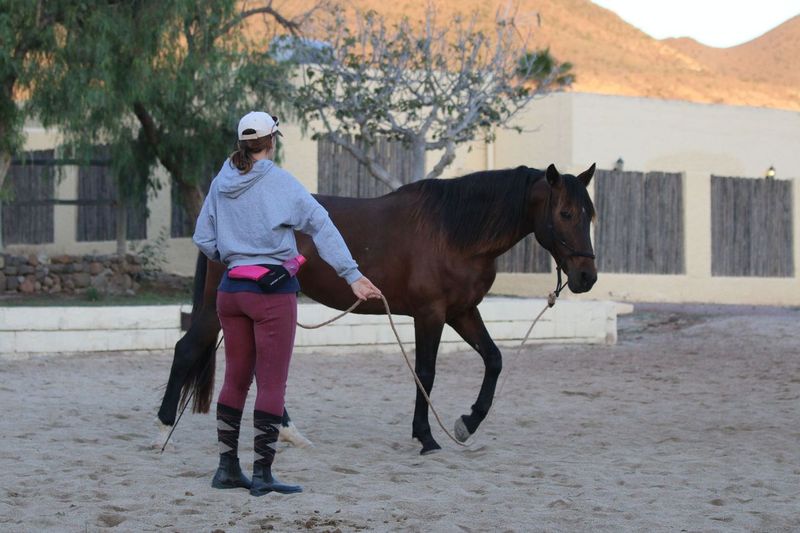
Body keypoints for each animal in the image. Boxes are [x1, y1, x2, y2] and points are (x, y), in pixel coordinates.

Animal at [158, 163, 598, 455]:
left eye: (589, 214)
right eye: (564, 213)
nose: (587, 276)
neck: (454, 232)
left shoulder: (462, 312)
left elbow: (494, 359)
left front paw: (466, 424)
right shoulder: (430, 315)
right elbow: (425, 373)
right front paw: (426, 436)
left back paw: (287, 431)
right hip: (220, 308)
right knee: (187, 348)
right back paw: (162, 425)